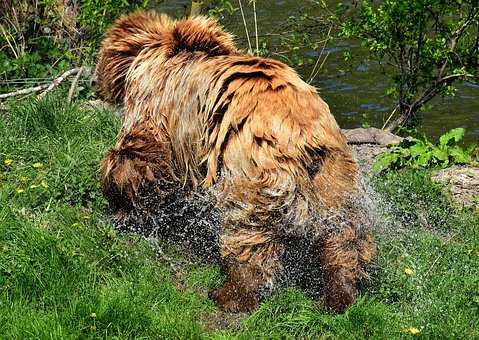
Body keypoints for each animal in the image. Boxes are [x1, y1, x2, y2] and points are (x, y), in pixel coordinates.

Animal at [96, 11, 376, 314]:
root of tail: (302, 139)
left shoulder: (158, 107)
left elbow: (140, 153)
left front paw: (121, 204)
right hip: (335, 176)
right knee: (343, 234)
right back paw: (339, 294)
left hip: (253, 172)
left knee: (246, 232)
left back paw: (229, 294)